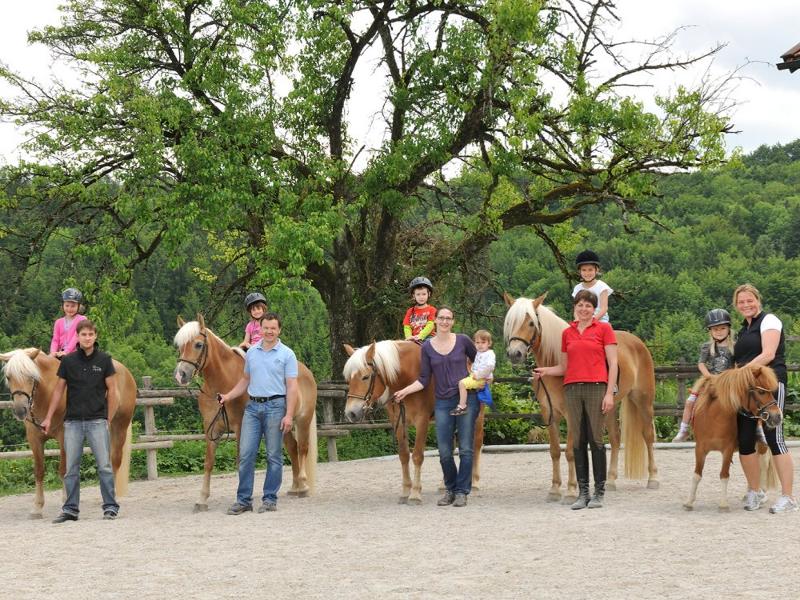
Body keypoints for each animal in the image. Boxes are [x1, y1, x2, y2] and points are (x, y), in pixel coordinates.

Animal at [0, 350, 135, 516]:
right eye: (8, 377)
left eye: (31, 377)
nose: (20, 410)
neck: (48, 395)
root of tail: (125, 371)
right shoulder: (34, 438)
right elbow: (39, 471)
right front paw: (37, 507)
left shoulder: (64, 435)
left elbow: (64, 470)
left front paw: (66, 501)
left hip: (120, 427)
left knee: (115, 461)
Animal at [173, 314, 318, 510]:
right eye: (180, 346)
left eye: (198, 344)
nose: (180, 374)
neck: (223, 383)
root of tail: (306, 372)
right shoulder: (211, 428)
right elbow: (209, 462)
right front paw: (202, 499)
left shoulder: (241, 426)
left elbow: (240, 460)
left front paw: (241, 498)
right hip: (283, 425)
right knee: (292, 448)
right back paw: (295, 488)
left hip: (303, 419)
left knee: (302, 448)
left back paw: (302, 485)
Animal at [340, 340, 484, 504]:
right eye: (348, 379)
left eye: (365, 377)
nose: (351, 413)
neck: (406, 379)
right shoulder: (397, 421)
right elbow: (403, 455)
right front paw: (405, 491)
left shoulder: (422, 421)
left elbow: (417, 456)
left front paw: (415, 493)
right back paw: (444, 485)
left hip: (478, 417)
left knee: (477, 444)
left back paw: (475, 483)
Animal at [504, 292, 660, 502]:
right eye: (509, 322)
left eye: (530, 323)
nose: (515, 353)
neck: (557, 362)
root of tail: (637, 342)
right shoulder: (549, 413)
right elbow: (555, 451)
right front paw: (554, 490)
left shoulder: (572, 412)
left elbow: (571, 451)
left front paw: (571, 491)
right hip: (609, 406)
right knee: (615, 438)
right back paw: (610, 482)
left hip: (643, 400)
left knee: (648, 435)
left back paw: (653, 479)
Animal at [680, 366, 780, 510]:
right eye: (761, 391)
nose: (777, 416)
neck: (714, 418)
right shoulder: (699, 449)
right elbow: (696, 475)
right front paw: (689, 502)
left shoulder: (727, 450)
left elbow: (724, 475)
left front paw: (723, 504)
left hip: (761, 445)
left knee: (763, 465)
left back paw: (761, 494)